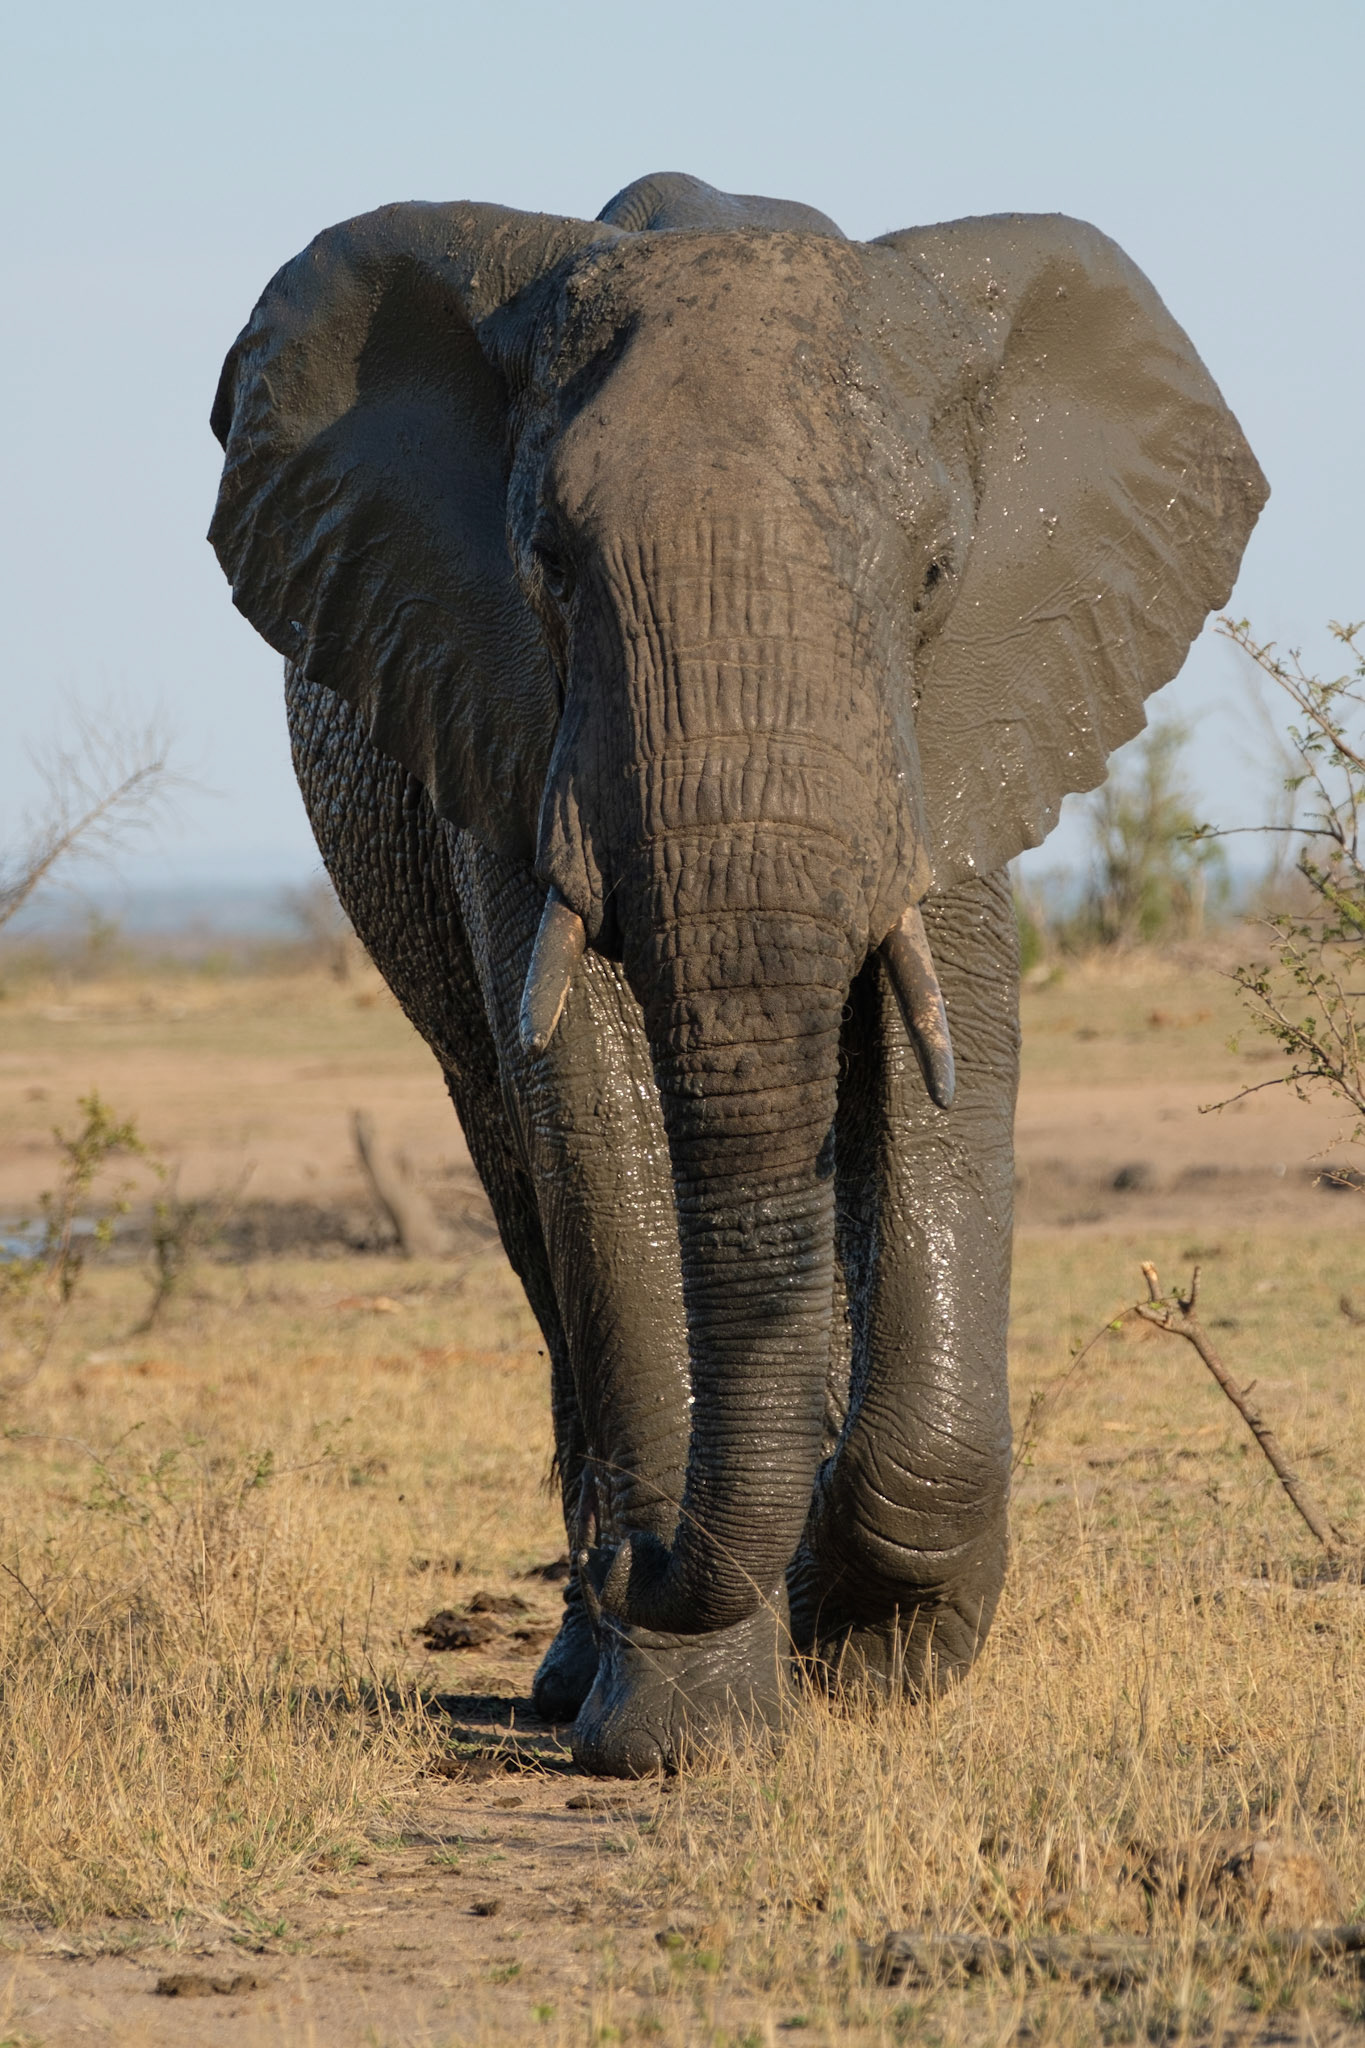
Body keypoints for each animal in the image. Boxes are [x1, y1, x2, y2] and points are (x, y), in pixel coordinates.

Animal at [208, 170, 1266, 1776]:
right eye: (547, 566)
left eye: (936, 574)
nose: (626, 1553)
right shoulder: (499, 723)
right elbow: (590, 1102)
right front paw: (684, 1727)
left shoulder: (960, 713)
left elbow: (950, 1055)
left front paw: (876, 1657)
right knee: (520, 1178)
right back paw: (582, 1661)